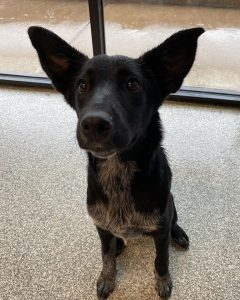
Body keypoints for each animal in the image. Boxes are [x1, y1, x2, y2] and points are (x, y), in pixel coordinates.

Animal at [28, 27, 204, 298]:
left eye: (133, 84)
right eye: (82, 85)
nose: (93, 123)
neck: (118, 169)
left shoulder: (160, 230)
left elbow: (161, 259)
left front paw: (163, 281)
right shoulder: (100, 227)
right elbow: (106, 256)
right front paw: (107, 277)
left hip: (170, 205)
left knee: (174, 221)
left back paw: (179, 233)